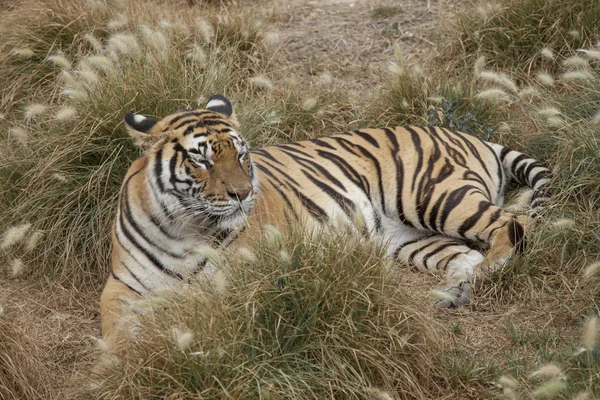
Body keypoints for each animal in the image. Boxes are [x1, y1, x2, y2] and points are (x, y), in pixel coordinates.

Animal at [99, 94, 552, 346]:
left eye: (241, 155)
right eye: (202, 160)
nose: (243, 194)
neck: (185, 228)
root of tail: (469, 135)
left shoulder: (241, 278)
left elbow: (199, 304)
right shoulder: (122, 285)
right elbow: (115, 328)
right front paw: (117, 364)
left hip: (433, 194)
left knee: (515, 225)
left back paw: (488, 272)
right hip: (408, 238)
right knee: (464, 254)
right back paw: (451, 292)